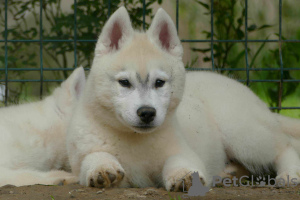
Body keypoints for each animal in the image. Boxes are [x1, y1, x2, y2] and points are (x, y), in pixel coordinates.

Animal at [66, 5, 300, 191]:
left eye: (159, 83)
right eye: (124, 82)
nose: (147, 113)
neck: (135, 139)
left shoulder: (183, 150)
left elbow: (178, 161)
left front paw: (183, 175)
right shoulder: (84, 159)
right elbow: (95, 156)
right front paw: (102, 168)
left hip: (242, 133)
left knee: (285, 146)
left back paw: (289, 173)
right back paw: (228, 173)